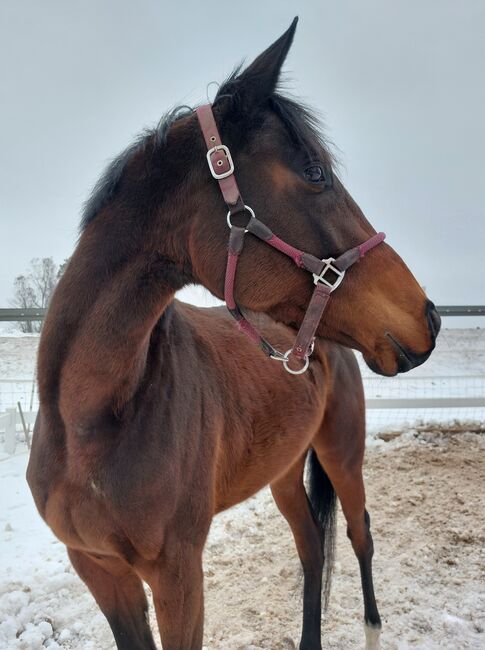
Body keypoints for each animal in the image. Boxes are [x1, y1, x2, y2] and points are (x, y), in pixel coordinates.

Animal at [27, 18, 440, 650]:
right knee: (311, 548)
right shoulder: (100, 572)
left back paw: (372, 624)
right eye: (314, 172)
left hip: (342, 456)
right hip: (284, 472)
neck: (87, 426)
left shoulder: (176, 575)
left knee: (358, 532)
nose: (430, 317)